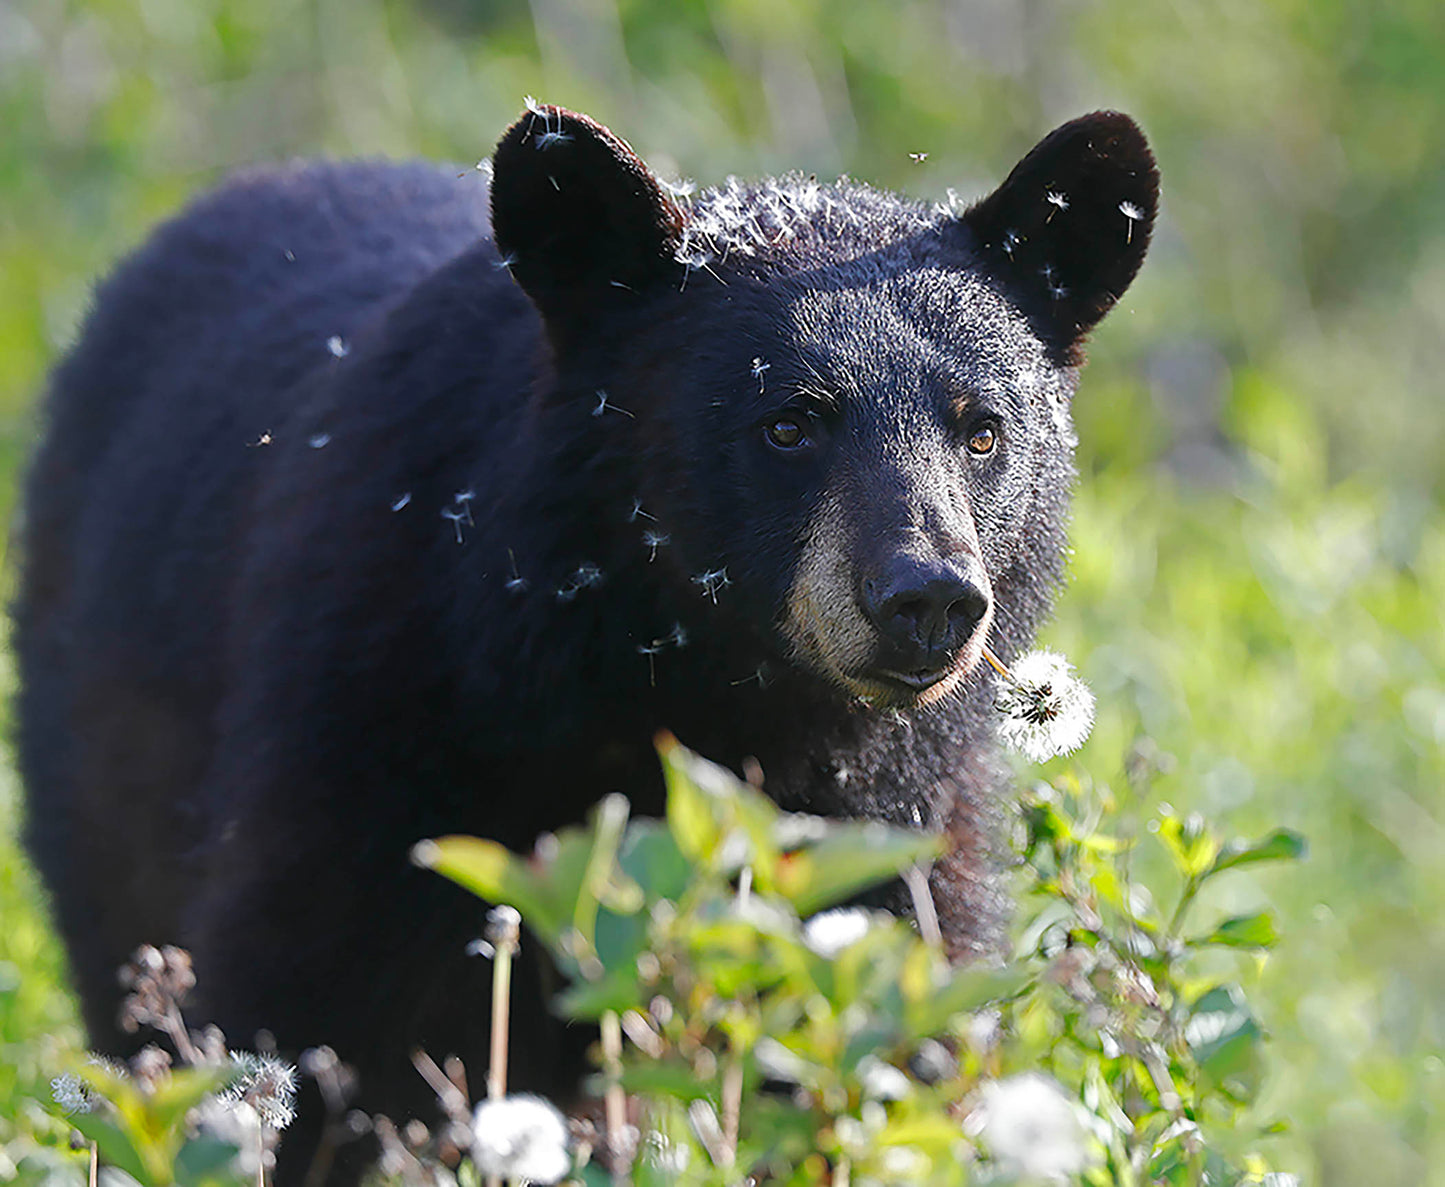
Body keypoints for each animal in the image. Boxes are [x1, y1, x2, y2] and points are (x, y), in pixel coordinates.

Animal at [15, 102, 1156, 1179]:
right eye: (787, 423)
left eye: (982, 429)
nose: (927, 598)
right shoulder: (369, 721)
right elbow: (287, 1008)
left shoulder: (893, 820)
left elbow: (886, 1020)